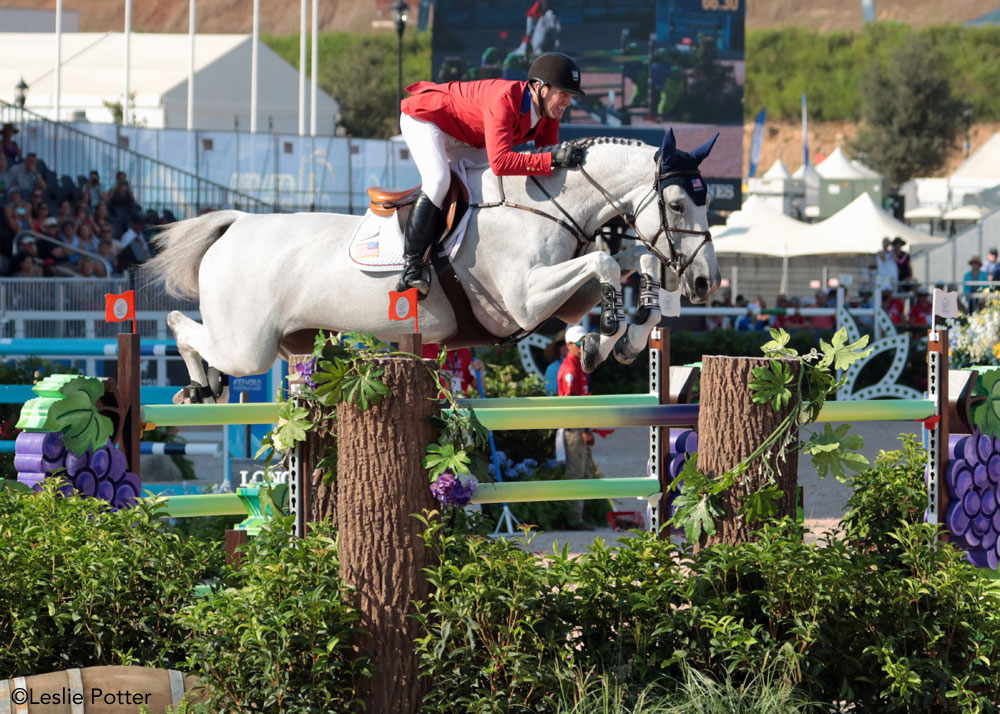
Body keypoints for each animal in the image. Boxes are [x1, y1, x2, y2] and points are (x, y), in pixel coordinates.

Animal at [146, 128, 720, 400]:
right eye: (676, 205)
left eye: (707, 200)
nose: (704, 282)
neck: (546, 204)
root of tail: (237, 223)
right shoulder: (525, 300)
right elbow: (604, 263)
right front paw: (607, 337)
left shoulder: (558, 301)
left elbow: (630, 259)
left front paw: (624, 340)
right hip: (249, 346)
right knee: (182, 326)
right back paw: (199, 385)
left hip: (296, 343)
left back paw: (205, 385)